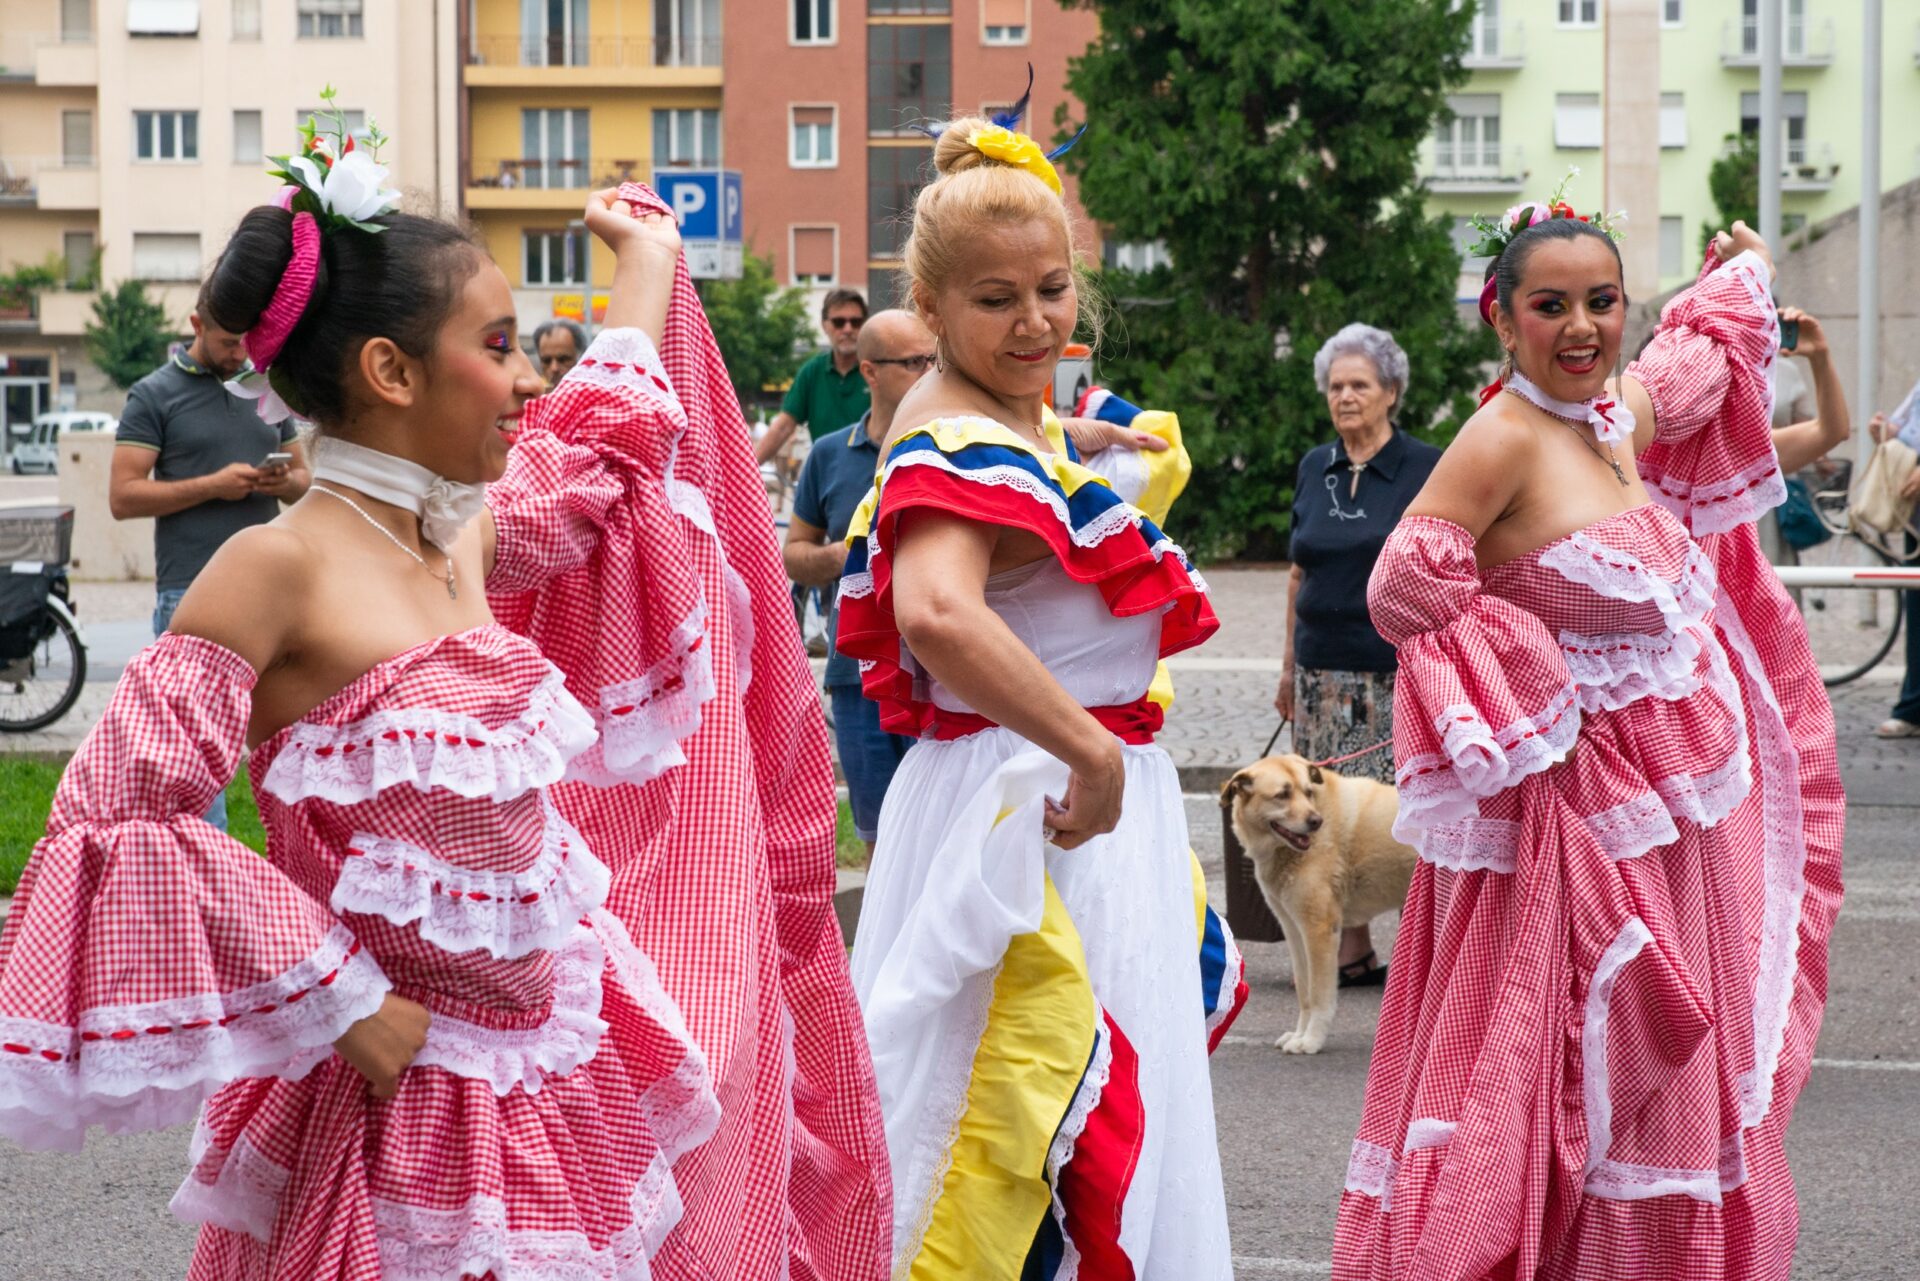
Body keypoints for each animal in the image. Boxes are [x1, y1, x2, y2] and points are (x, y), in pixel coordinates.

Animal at [1221, 756, 1420, 1060]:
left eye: (1307, 792)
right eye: (1282, 795)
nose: (1316, 822)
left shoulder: (1319, 930)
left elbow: (1318, 995)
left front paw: (1311, 1040)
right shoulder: (1294, 930)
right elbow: (1304, 992)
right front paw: (1299, 1035)